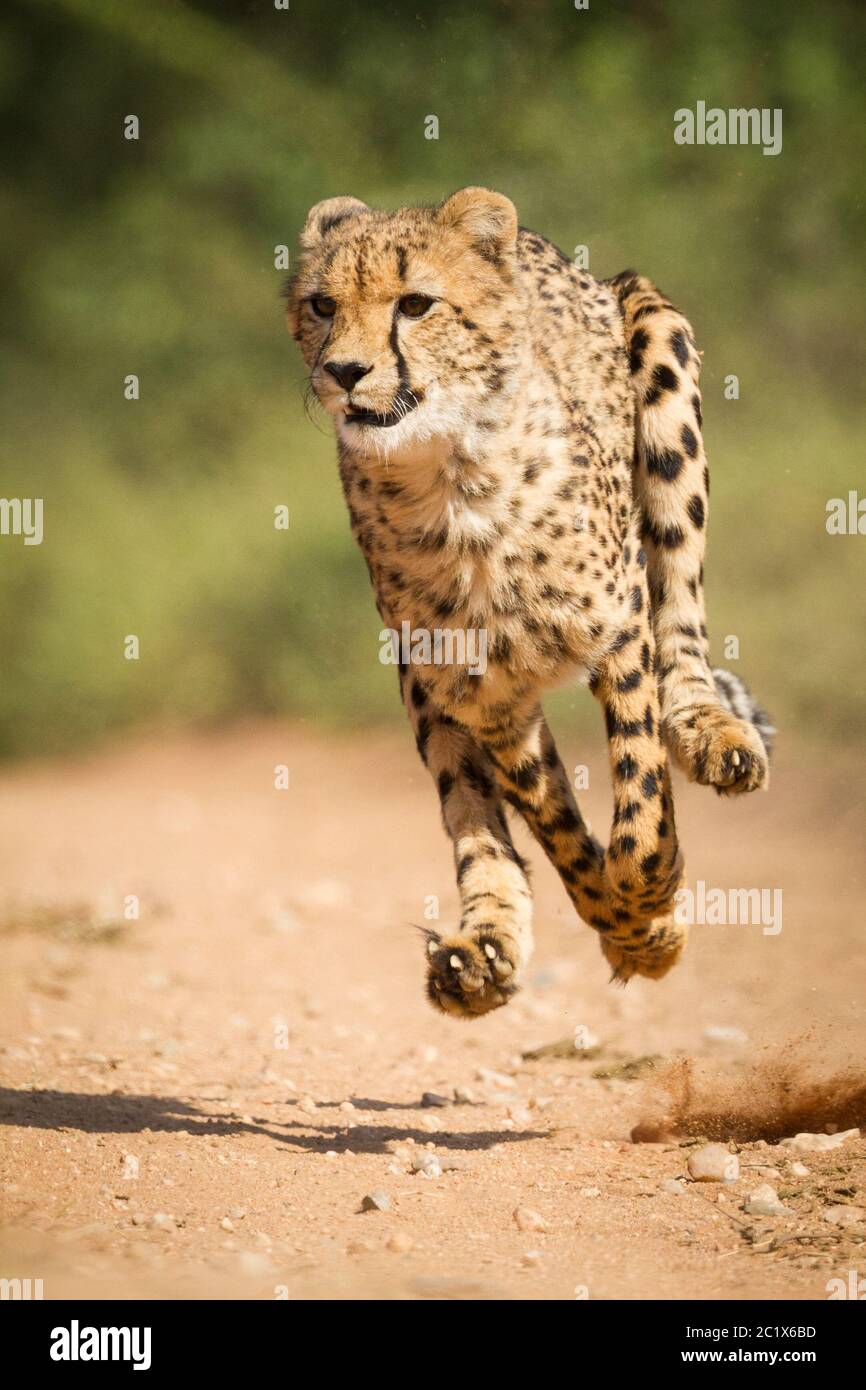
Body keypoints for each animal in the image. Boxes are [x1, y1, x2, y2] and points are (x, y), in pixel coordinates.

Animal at [286, 187, 772, 1023]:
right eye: (323, 304)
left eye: (415, 304)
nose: (345, 371)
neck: (451, 481)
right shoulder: (486, 693)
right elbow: (555, 829)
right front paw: (634, 929)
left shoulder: (617, 626)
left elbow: (640, 796)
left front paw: (648, 902)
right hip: (423, 680)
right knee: (471, 805)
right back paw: (480, 953)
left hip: (658, 344)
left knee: (683, 619)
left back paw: (711, 729)